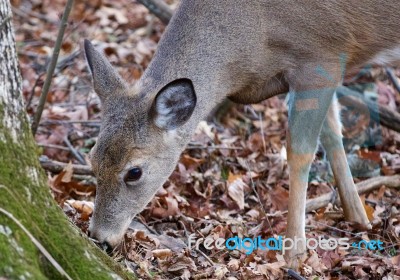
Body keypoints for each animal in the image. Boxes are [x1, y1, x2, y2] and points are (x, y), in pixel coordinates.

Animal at [85, 0, 400, 266]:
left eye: (134, 172)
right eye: (92, 159)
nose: (99, 237)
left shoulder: (321, 59)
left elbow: (300, 151)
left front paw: (294, 253)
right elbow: (333, 134)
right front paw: (358, 217)